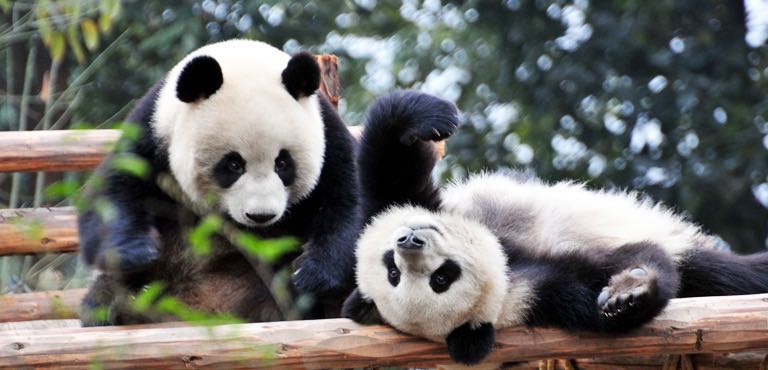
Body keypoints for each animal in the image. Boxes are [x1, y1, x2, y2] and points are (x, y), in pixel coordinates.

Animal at [79, 39, 362, 326]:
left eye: (283, 163)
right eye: (233, 164)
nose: (261, 216)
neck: (242, 59)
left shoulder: (327, 135)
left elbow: (350, 201)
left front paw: (310, 273)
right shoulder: (152, 130)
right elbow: (113, 193)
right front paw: (136, 252)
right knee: (109, 289)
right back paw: (116, 305)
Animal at [340, 90, 768, 364]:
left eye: (390, 269)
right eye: (439, 281)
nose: (409, 241)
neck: (504, 259)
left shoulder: (400, 203)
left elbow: (387, 166)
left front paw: (426, 118)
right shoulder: (535, 294)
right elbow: (611, 271)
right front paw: (629, 294)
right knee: (723, 274)